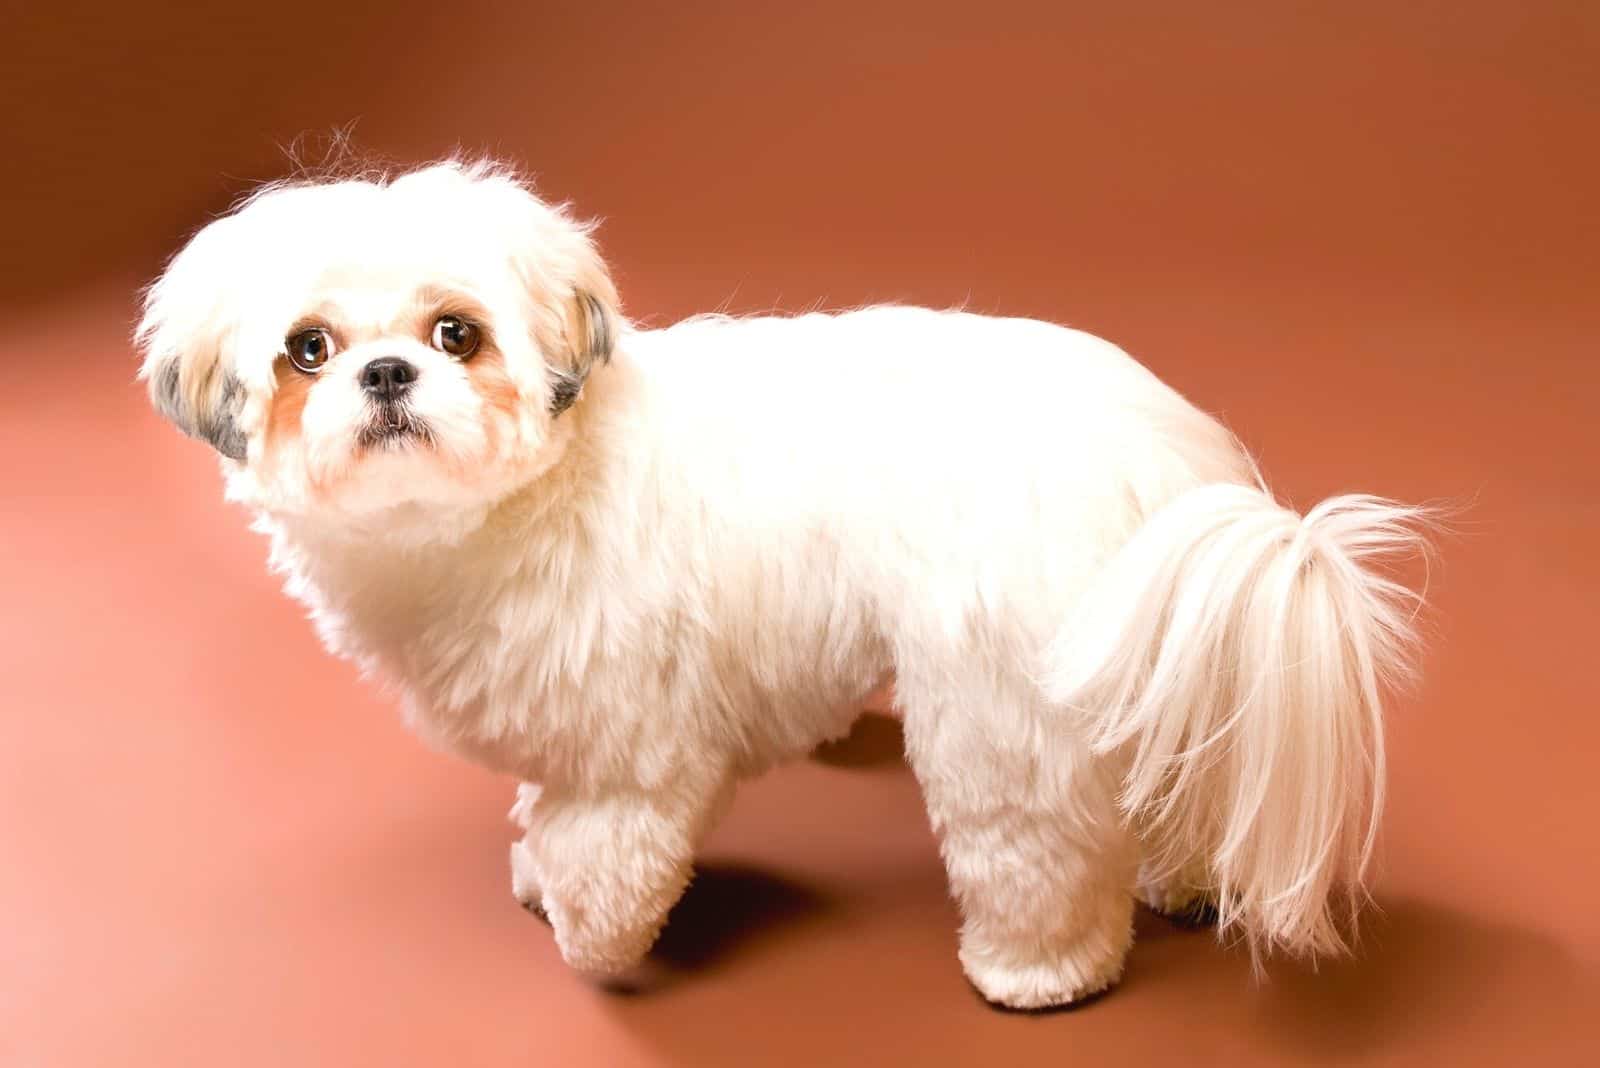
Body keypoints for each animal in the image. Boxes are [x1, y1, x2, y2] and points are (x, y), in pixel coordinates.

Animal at [144, 158, 1433, 1010]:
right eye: (309, 350)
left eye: (456, 332)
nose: (385, 374)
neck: (527, 493)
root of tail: (1166, 459)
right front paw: (532, 874)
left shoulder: (632, 744)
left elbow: (603, 851)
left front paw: (587, 935)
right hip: (1142, 658)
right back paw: (1182, 887)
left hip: (999, 705)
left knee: (1037, 846)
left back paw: (1037, 973)